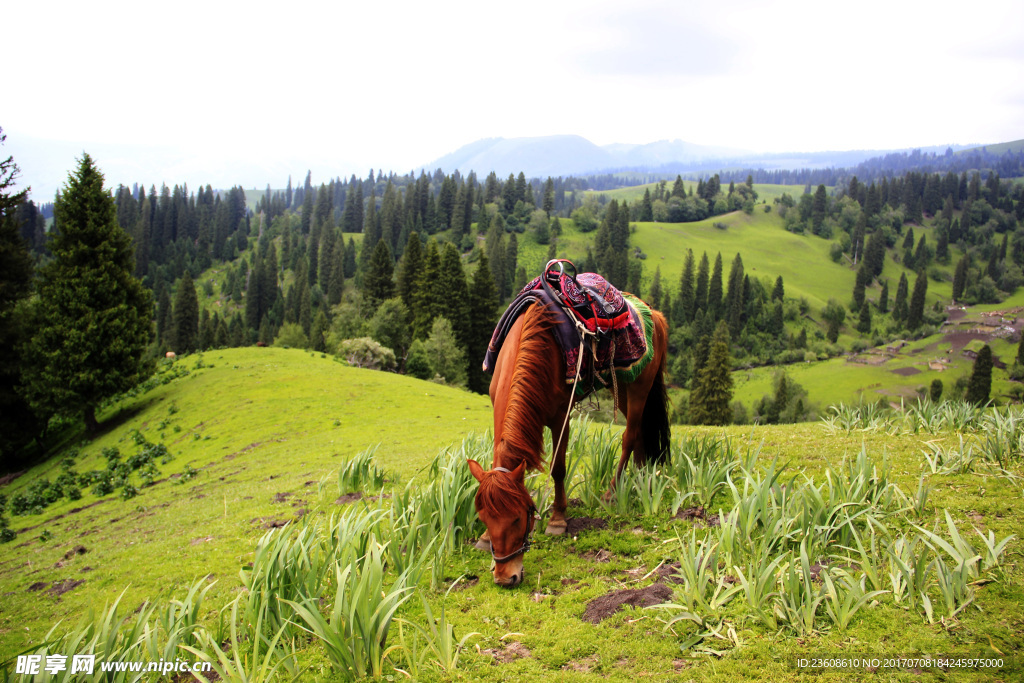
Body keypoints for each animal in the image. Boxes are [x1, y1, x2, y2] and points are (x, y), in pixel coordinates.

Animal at [466, 294, 671, 589]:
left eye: (518, 518)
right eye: (483, 517)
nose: (506, 578)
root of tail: (654, 315)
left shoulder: (560, 416)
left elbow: (558, 469)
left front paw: (557, 520)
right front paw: (483, 539)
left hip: (639, 386)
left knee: (630, 435)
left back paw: (612, 493)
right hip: (621, 385)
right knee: (641, 434)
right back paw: (642, 479)